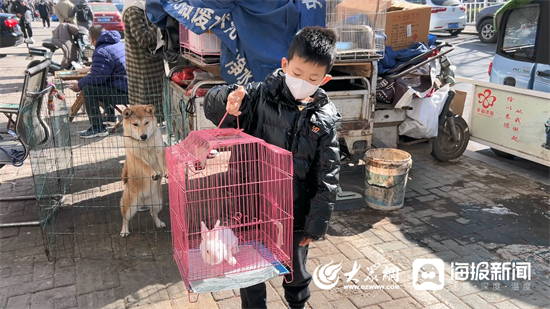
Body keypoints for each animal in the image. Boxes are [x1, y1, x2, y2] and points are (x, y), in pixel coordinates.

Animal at [119, 104, 166, 237]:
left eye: (146, 123)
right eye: (135, 124)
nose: (143, 136)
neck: (145, 144)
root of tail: (143, 201)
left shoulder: (159, 150)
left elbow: (163, 163)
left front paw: (166, 172)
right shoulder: (137, 158)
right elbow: (146, 167)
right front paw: (154, 174)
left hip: (158, 202)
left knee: (153, 213)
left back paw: (159, 223)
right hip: (130, 205)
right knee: (125, 218)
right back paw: (124, 231)